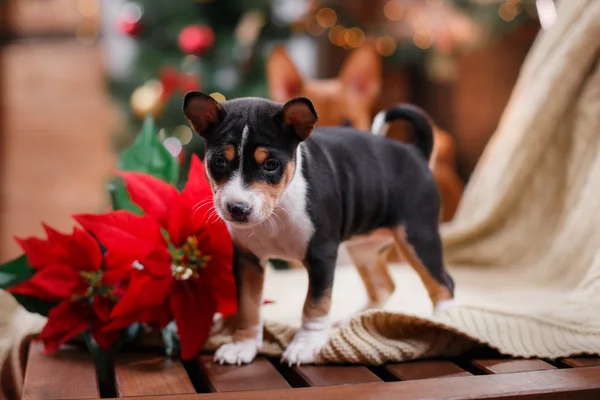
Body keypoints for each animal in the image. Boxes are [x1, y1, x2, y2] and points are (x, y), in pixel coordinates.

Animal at [183, 90, 454, 366]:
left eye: (270, 165)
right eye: (219, 162)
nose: (237, 208)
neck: (277, 211)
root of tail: (415, 153)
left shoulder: (321, 255)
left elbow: (315, 305)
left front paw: (305, 345)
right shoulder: (247, 259)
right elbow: (248, 306)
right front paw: (243, 345)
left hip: (418, 237)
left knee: (444, 283)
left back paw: (444, 321)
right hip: (365, 249)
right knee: (384, 286)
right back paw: (355, 321)